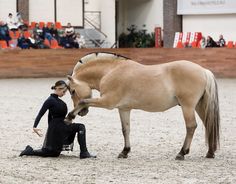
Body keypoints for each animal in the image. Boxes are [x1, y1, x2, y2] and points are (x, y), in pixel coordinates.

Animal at [64, 51, 219, 160]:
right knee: (208, 125)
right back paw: (210, 152)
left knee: (191, 126)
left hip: (188, 107)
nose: (82, 113)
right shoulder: (124, 109)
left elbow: (84, 101)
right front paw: (124, 152)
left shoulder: (107, 102)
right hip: (199, 106)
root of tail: (203, 70)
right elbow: (125, 129)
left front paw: (69, 117)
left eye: (72, 91)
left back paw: (182, 153)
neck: (110, 71)